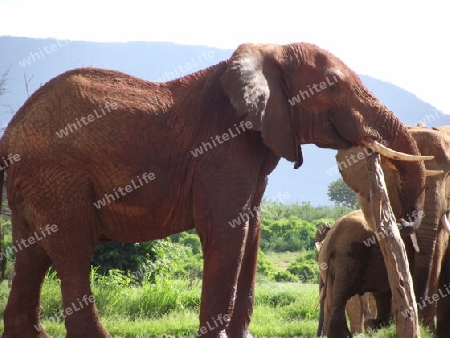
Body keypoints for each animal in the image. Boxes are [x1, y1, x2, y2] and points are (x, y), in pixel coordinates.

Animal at [0, 43, 430, 338]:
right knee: (73, 248)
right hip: (58, 176)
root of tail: (11, 134)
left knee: (32, 254)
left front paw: (243, 336)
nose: (405, 226)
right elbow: (226, 230)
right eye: (334, 86)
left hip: (34, 183)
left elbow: (251, 231)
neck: (267, 55)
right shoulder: (220, 149)